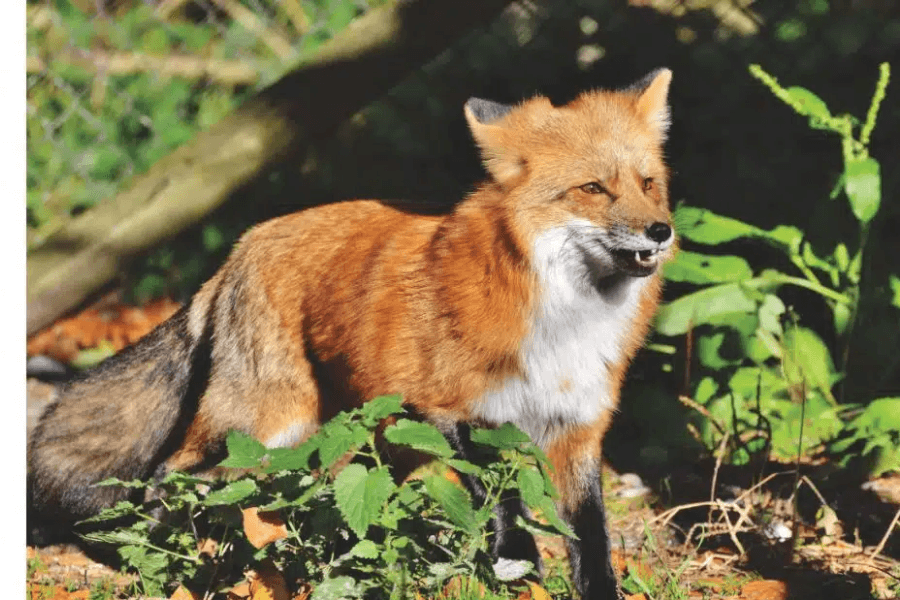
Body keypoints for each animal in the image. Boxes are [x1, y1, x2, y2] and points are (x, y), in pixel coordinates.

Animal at [29, 69, 675, 599]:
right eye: (593, 188)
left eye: (647, 183)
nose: (661, 231)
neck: (565, 320)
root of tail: (242, 243)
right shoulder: (452, 410)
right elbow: (502, 506)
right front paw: (517, 570)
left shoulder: (577, 431)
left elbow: (590, 542)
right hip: (266, 424)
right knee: (171, 475)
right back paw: (169, 561)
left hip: (370, 440)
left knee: (317, 499)